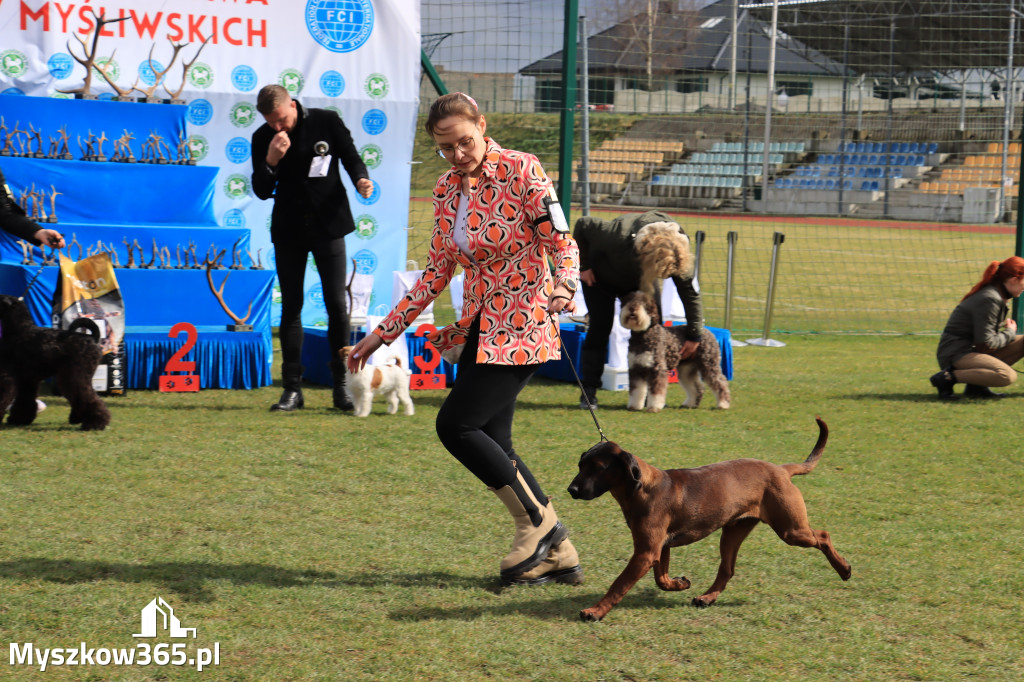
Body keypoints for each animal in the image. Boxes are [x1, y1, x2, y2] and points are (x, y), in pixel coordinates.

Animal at [0, 292, 111, 430]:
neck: (19, 331)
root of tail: (92, 338)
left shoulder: (9, 377)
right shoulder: (27, 380)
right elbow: (24, 400)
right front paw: (19, 419)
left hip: (74, 377)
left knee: (88, 397)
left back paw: (95, 423)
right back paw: (79, 419)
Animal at [569, 417, 847, 618]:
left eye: (597, 468)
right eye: (580, 465)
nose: (571, 490)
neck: (640, 487)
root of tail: (780, 470)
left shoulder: (646, 552)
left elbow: (618, 585)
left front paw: (595, 611)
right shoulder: (659, 548)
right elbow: (661, 579)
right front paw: (679, 584)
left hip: (791, 530)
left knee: (823, 535)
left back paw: (844, 569)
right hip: (733, 532)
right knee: (727, 569)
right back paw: (707, 597)